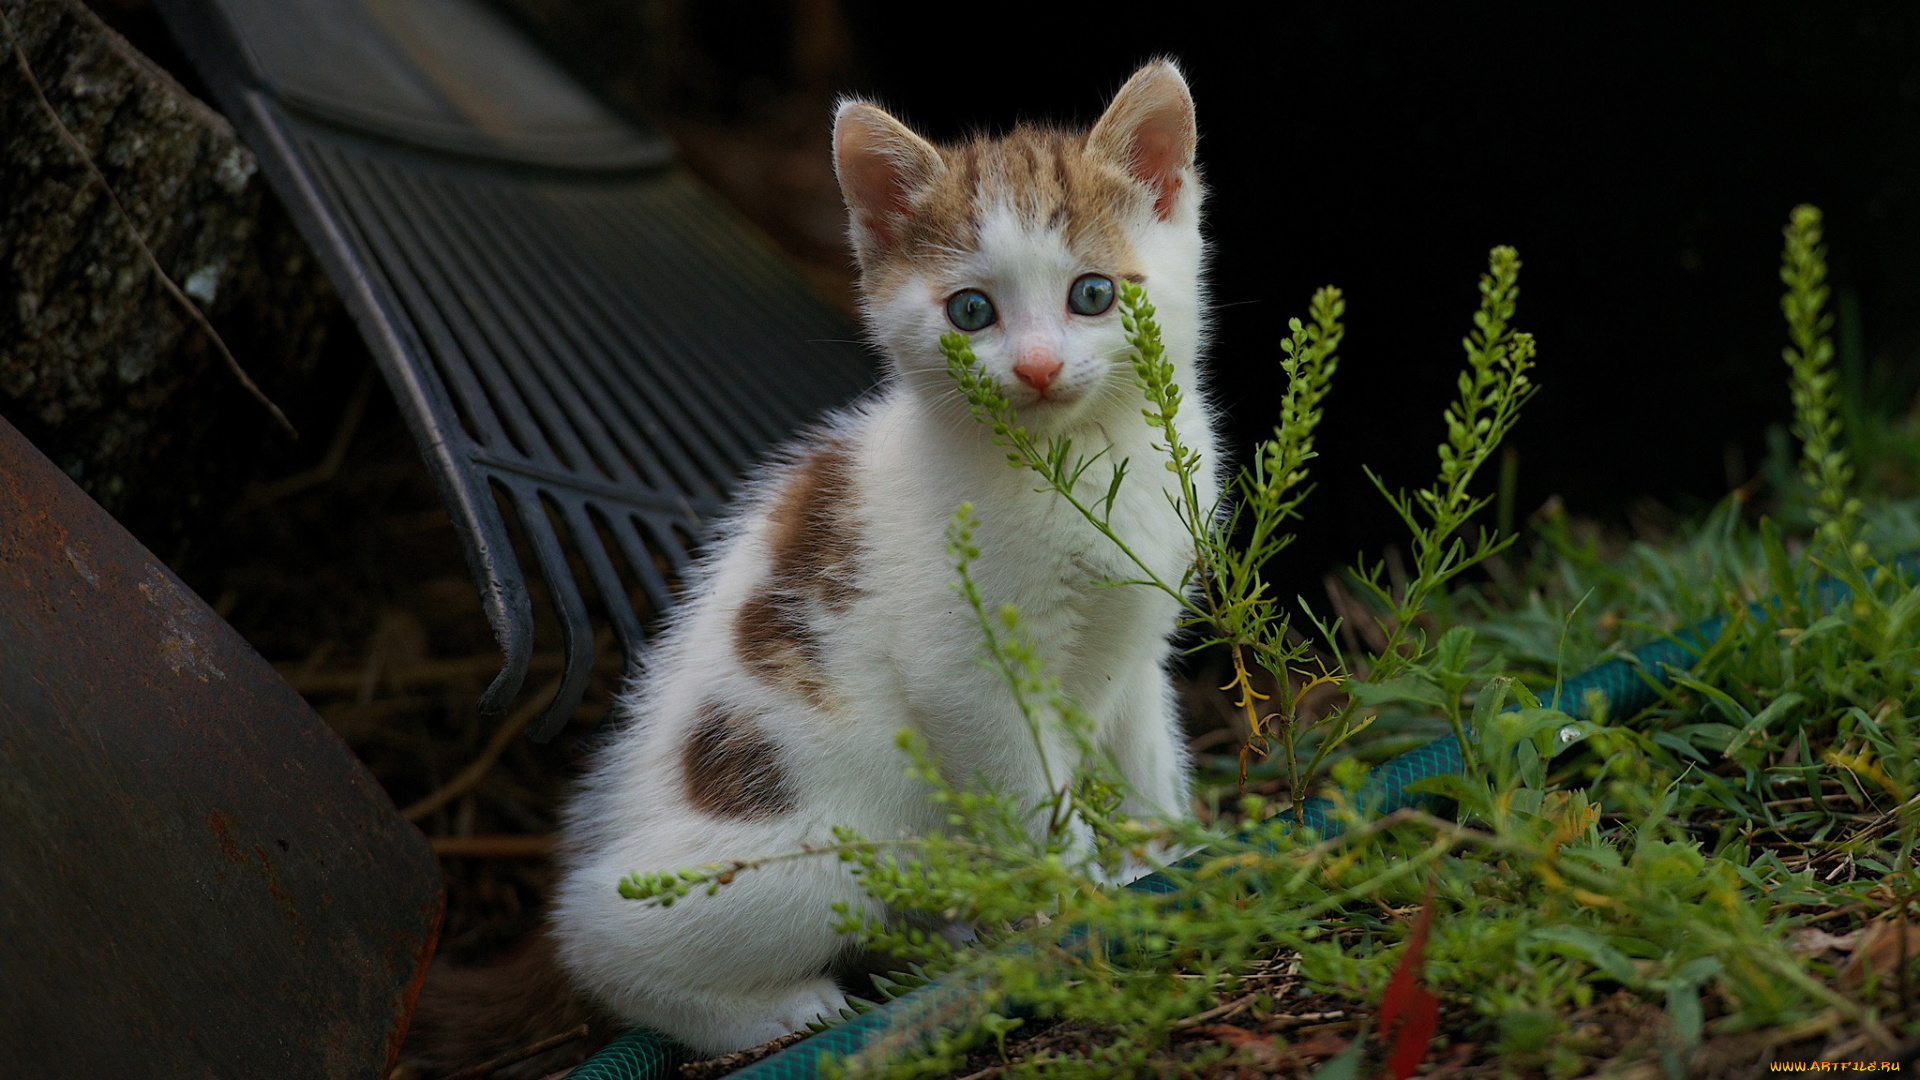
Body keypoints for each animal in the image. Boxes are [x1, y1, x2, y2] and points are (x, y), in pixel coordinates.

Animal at [549, 56, 1221, 1053]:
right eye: (971, 311)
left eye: (1093, 293)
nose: (1035, 368)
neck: (1083, 460)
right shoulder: (965, 673)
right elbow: (1029, 796)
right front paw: (1075, 895)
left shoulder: (1133, 642)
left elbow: (1144, 753)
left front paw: (1163, 856)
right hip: (819, 856)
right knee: (597, 936)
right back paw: (774, 1009)